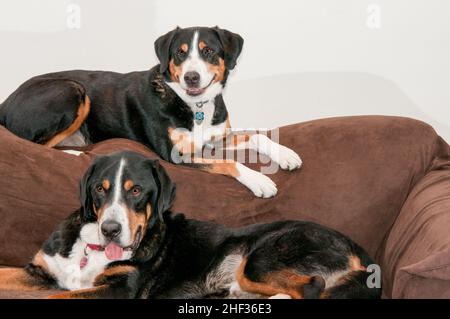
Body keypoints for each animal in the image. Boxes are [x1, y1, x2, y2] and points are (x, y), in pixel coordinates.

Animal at [0, 26, 302, 199]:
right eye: (180, 53)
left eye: (208, 51)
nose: (191, 77)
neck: (194, 106)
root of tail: (5, 102)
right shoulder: (175, 154)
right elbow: (227, 162)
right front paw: (259, 180)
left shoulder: (215, 137)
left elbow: (255, 136)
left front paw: (285, 154)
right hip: (72, 90)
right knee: (37, 145)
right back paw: (76, 154)